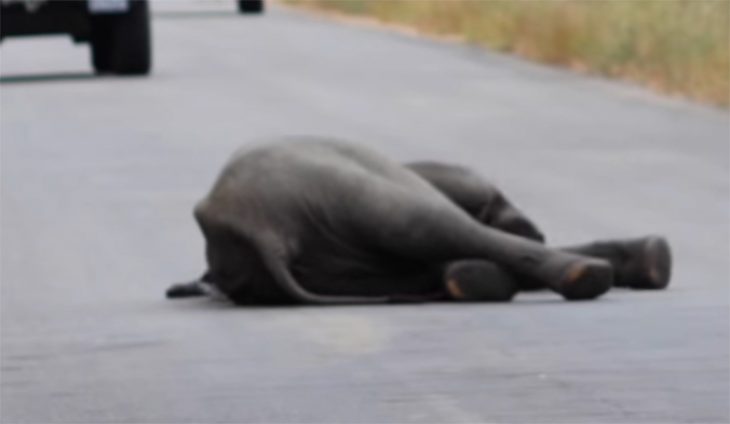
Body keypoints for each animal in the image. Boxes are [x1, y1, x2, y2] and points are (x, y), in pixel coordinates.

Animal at [166, 139, 672, 304]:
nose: (535, 227)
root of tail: (250, 225)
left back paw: (471, 280)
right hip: (341, 191)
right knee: (425, 226)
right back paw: (593, 275)